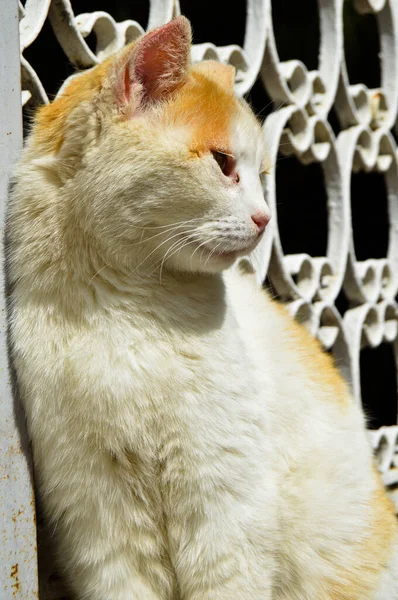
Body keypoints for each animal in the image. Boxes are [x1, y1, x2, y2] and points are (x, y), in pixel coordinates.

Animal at [5, 14, 398, 600]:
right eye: (224, 163)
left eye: (261, 176)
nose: (265, 220)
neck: (127, 312)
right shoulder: (101, 520)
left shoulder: (224, 509)